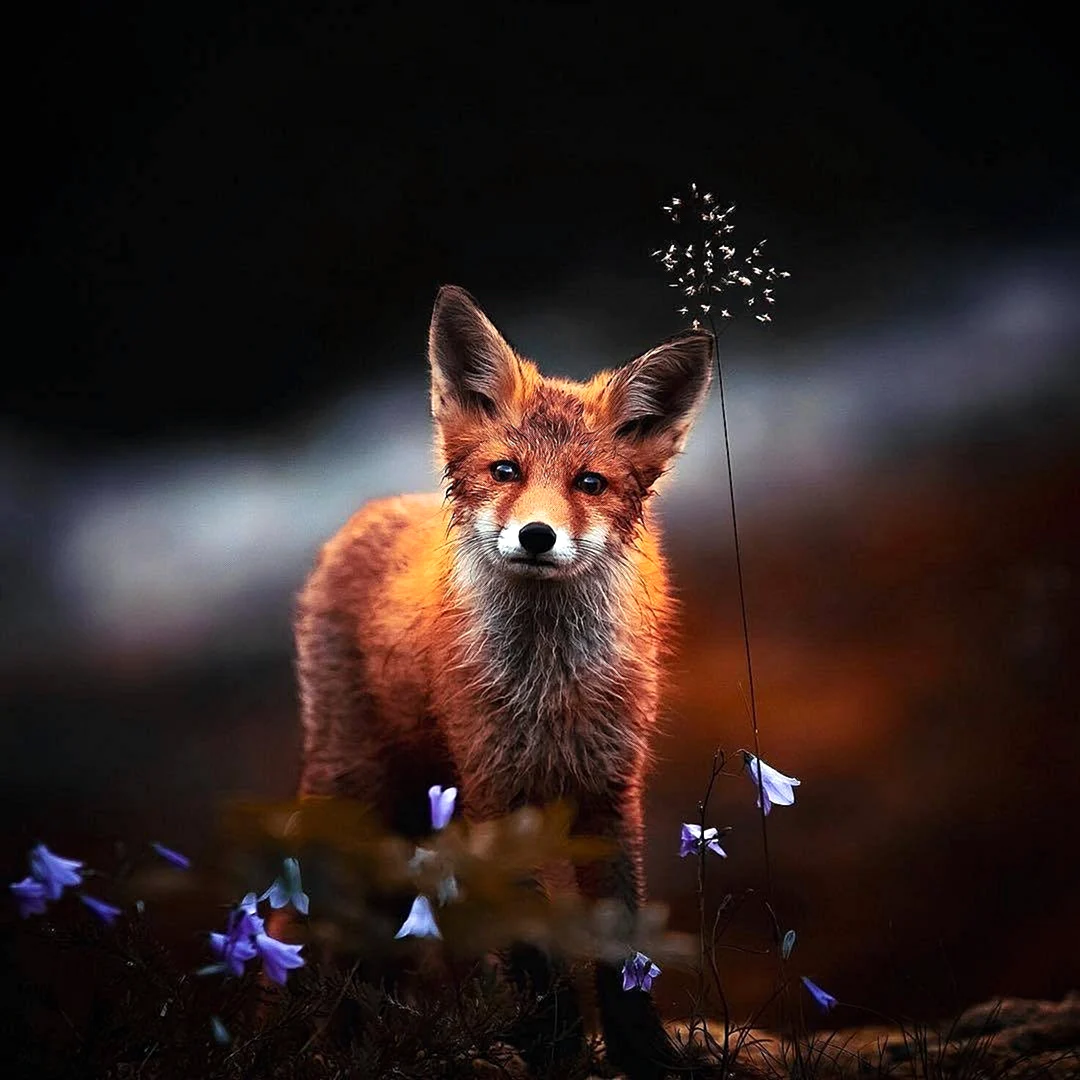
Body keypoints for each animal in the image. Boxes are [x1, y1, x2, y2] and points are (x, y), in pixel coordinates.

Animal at [291, 285, 714, 1076]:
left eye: (589, 483)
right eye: (506, 471)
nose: (537, 536)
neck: (549, 693)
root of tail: (368, 512)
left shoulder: (610, 793)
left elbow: (620, 942)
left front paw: (644, 1051)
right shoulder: (493, 792)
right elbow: (533, 950)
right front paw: (556, 1048)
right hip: (358, 795)